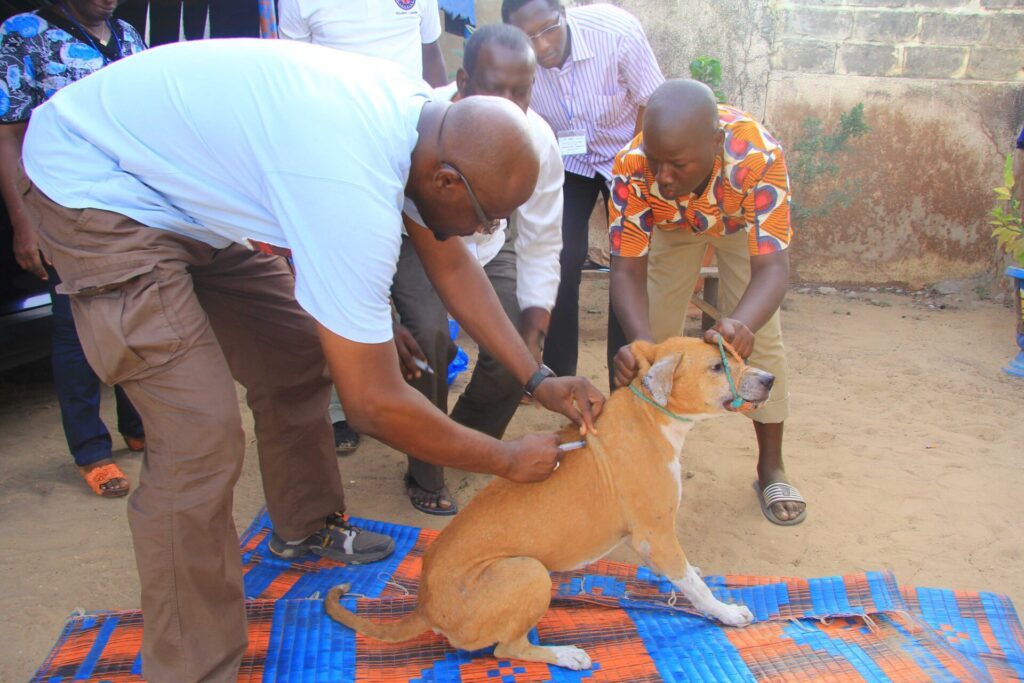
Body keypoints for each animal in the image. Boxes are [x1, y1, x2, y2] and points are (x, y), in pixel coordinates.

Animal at [327, 339, 774, 671]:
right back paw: (565, 654)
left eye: (737, 357)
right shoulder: (656, 532)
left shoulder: (653, 538)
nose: (770, 379)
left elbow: (681, 573)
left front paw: (688, 575)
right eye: (717, 367)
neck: (650, 413)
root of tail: (425, 607)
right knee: (506, 649)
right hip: (529, 572)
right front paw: (726, 612)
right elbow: (697, 589)